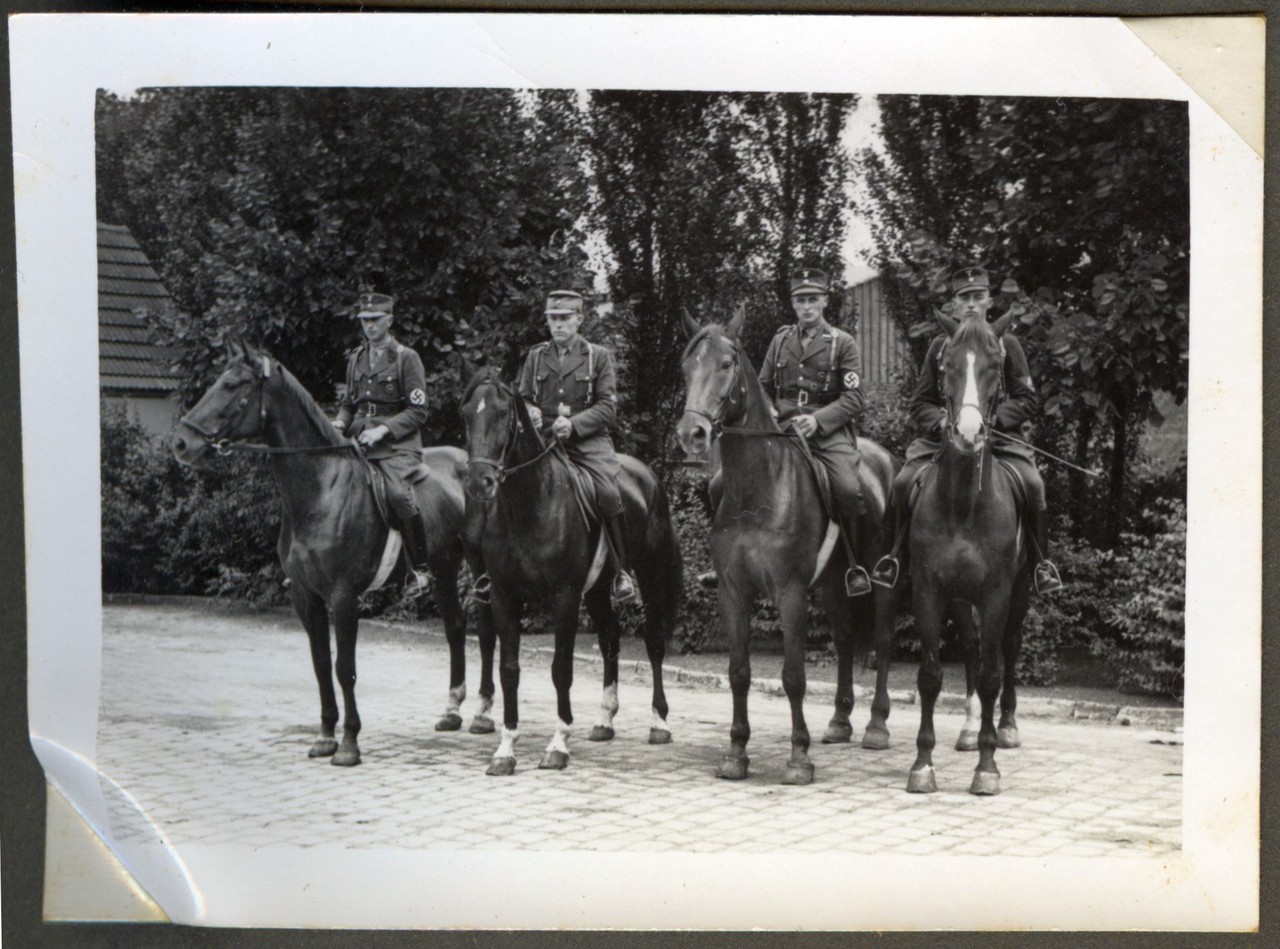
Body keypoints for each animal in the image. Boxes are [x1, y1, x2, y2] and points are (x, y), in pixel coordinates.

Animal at [177, 338, 496, 768]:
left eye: (231, 385)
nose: (182, 443)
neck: (320, 490)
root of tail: (472, 466)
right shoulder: (305, 596)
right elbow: (320, 666)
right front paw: (325, 736)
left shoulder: (344, 596)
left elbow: (345, 669)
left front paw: (348, 744)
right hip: (443, 566)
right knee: (456, 627)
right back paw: (451, 710)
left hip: (478, 567)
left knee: (487, 629)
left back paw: (483, 713)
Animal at [458, 366, 680, 773]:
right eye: (466, 414)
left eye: (502, 413)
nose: (480, 483)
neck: (530, 504)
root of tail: (649, 477)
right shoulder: (503, 596)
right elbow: (508, 668)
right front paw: (505, 749)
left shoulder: (564, 597)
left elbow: (561, 667)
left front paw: (558, 743)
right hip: (597, 591)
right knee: (610, 638)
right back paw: (605, 719)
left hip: (652, 577)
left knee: (654, 642)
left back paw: (659, 722)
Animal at [670, 312, 901, 783]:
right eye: (687, 368)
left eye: (726, 364)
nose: (692, 433)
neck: (759, 490)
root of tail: (884, 458)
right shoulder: (733, 592)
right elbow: (738, 672)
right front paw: (736, 752)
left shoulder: (790, 592)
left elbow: (794, 675)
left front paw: (799, 758)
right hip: (832, 585)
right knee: (845, 638)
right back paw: (839, 721)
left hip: (880, 579)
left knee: (883, 640)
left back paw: (876, 726)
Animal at [906, 311, 1034, 794]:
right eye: (947, 366)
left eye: (996, 366)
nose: (967, 432)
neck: (963, 502)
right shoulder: (929, 591)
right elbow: (931, 675)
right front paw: (923, 764)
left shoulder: (998, 592)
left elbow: (993, 674)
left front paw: (987, 765)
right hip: (962, 599)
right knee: (973, 647)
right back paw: (967, 729)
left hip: (1021, 590)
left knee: (1007, 648)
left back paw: (1007, 728)